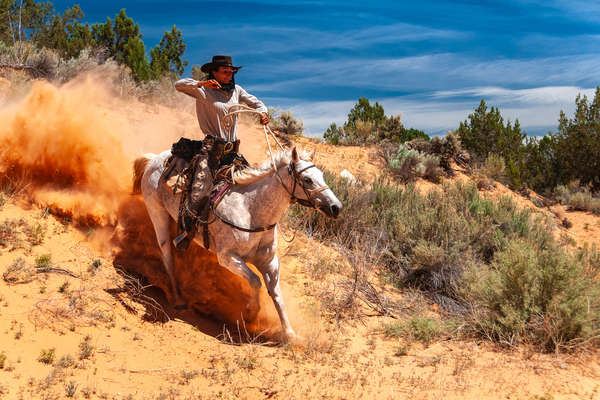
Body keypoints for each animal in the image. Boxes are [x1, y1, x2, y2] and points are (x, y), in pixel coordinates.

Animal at [134, 148, 344, 340]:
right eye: (307, 179)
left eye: (322, 175)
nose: (336, 207)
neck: (251, 210)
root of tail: (154, 159)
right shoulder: (228, 258)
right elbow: (255, 281)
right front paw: (251, 315)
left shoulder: (270, 262)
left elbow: (276, 294)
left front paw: (290, 334)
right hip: (158, 215)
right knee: (166, 255)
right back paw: (177, 298)